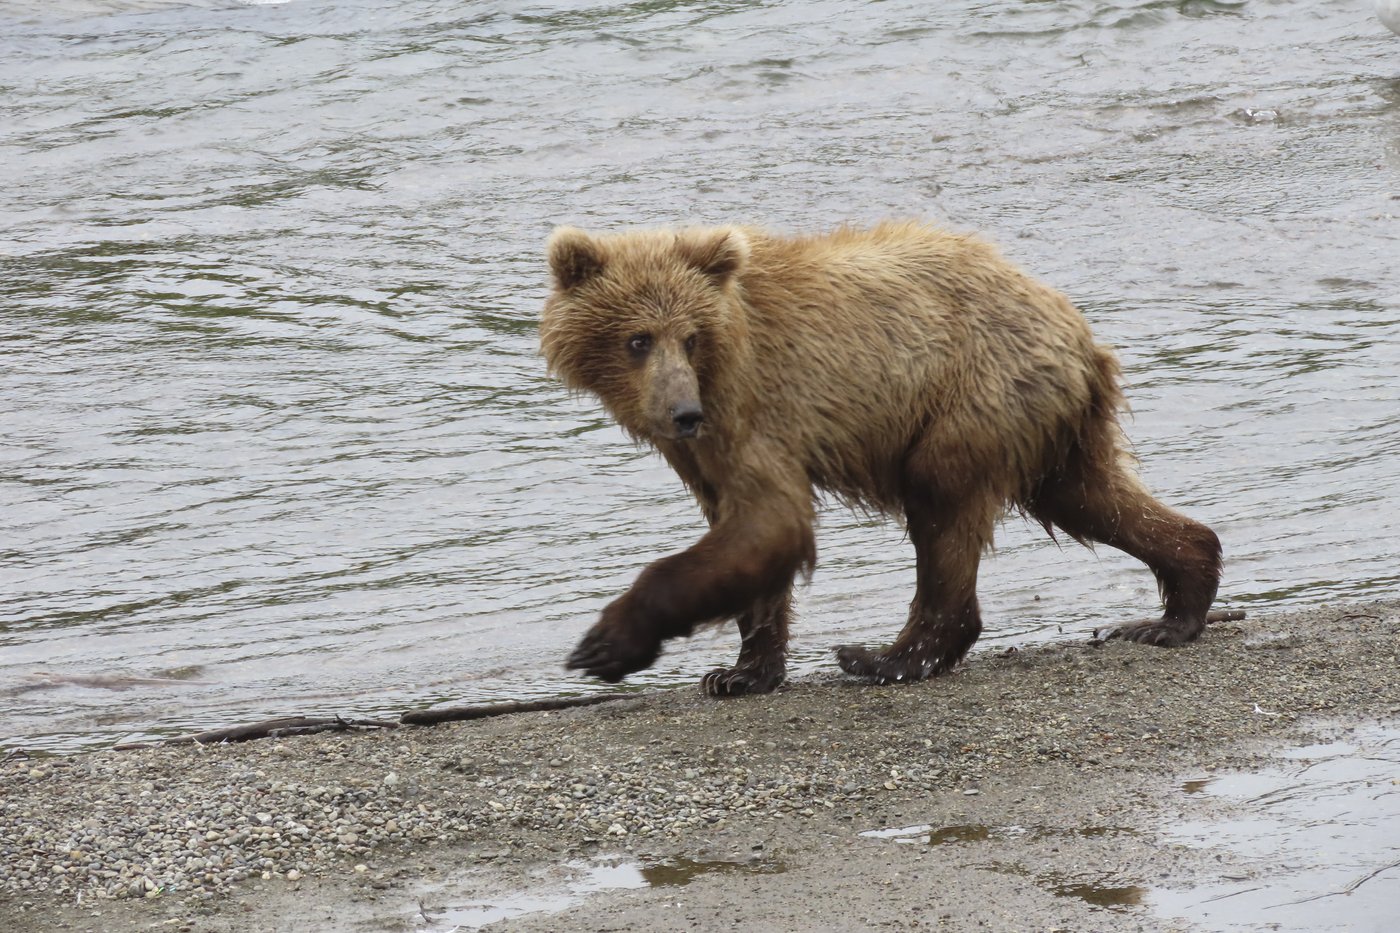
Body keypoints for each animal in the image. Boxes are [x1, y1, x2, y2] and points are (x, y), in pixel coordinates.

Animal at [539, 221, 1222, 696]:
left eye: (689, 336)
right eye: (637, 339)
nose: (683, 412)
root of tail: (1078, 328)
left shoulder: (754, 405)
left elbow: (771, 521)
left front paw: (607, 644)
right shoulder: (708, 447)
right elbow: (744, 535)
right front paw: (739, 673)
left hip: (970, 398)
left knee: (942, 507)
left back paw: (886, 658)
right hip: (1048, 423)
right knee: (1090, 497)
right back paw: (1174, 608)